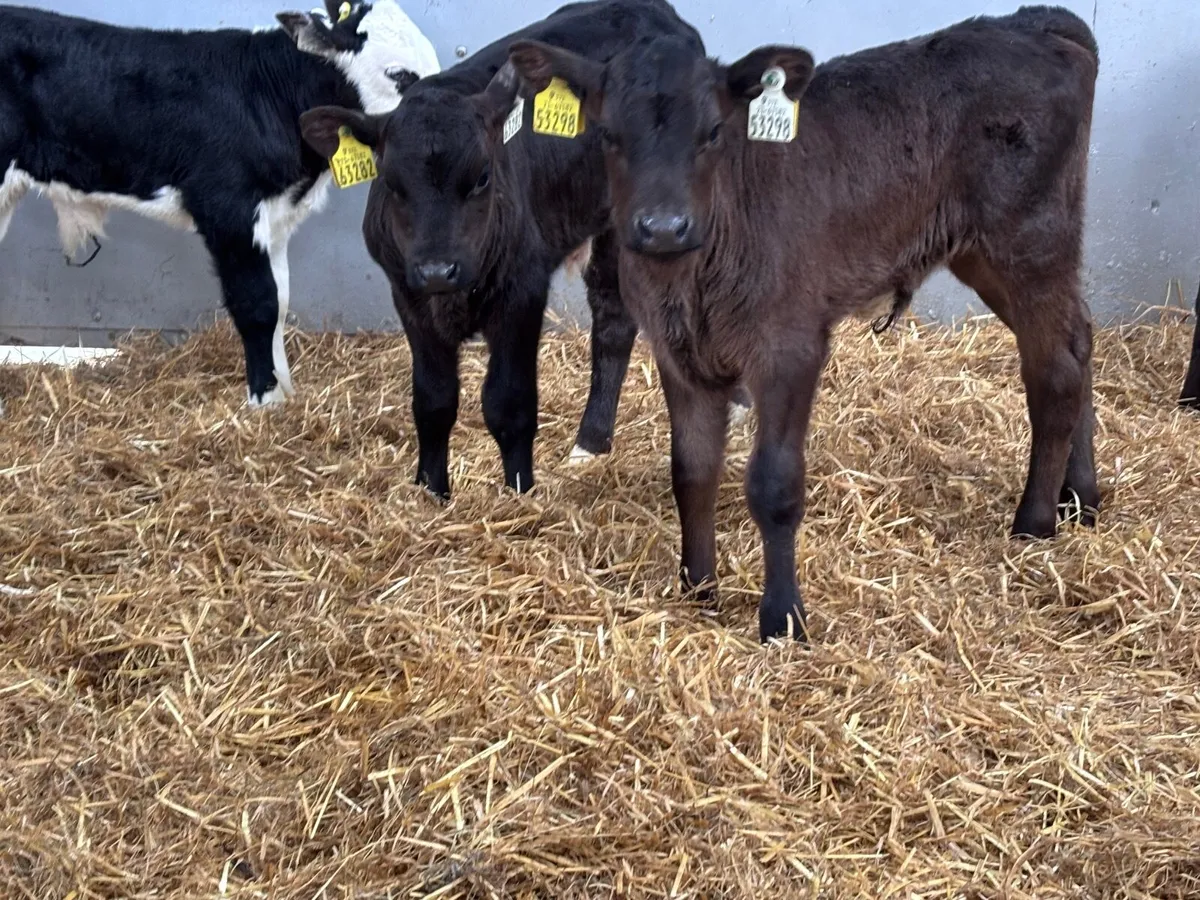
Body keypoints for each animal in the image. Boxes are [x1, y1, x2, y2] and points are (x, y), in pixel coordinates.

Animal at [0, 0, 438, 408]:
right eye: (399, 74)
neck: (269, 96)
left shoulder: (275, 220)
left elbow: (280, 301)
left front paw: (286, 392)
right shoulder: (230, 212)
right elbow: (258, 304)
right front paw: (265, 401)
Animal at [299, 0, 748, 501]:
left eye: (481, 177)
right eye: (392, 184)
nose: (438, 269)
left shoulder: (522, 291)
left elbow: (508, 404)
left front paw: (520, 490)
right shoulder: (409, 295)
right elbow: (432, 401)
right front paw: (431, 490)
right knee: (613, 317)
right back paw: (591, 443)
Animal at [508, 5, 1102, 642]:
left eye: (713, 132)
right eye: (607, 135)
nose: (663, 227)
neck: (696, 278)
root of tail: (1034, 22)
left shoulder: (788, 347)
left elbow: (774, 484)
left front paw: (782, 618)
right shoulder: (676, 351)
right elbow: (691, 470)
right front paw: (698, 587)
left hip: (1030, 241)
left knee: (1055, 372)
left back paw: (1035, 522)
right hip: (985, 254)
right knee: (1079, 339)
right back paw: (1081, 497)